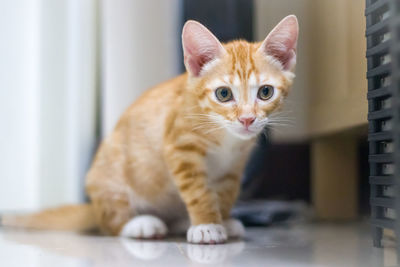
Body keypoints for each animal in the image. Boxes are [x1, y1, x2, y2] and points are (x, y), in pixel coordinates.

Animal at [1, 15, 296, 245]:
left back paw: (182, 221)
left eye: (266, 92)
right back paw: (139, 224)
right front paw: (207, 224)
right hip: (109, 181)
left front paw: (221, 219)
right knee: (109, 223)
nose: (247, 119)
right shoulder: (179, 147)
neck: (226, 139)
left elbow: (224, 193)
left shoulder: (234, 165)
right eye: (223, 94)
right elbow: (198, 191)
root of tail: (92, 207)